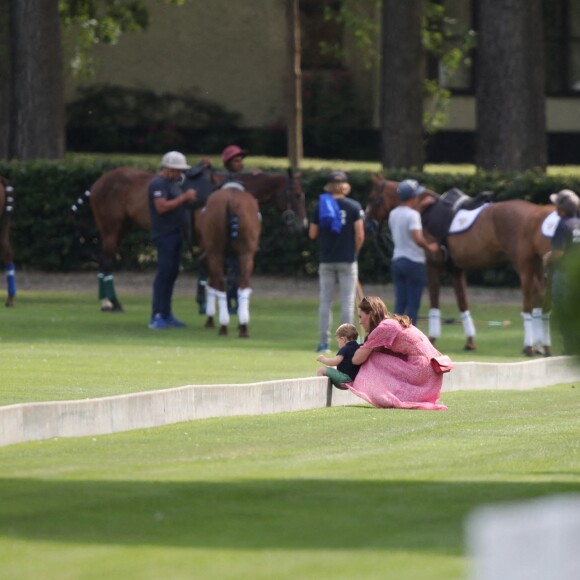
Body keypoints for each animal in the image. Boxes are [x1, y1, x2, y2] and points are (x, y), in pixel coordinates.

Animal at [77, 165, 308, 314]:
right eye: (297, 194)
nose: (302, 225)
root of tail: (97, 183)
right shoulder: (206, 238)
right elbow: (207, 268)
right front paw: (205, 304)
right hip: (111, 227)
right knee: (106, 260)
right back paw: (111, 303)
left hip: (123, 227)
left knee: (105, 260)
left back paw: (106, 302)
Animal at [364, 177, 556, 356]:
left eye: (373, 197)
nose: (367, 223)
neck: (424, 211)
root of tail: (535, 214)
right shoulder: (456, 270)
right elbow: (462, 303)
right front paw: (470, 342)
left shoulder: (432, 267)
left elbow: (435, 301)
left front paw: (431, 339)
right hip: (537, 267)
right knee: (541, 298)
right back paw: (542, 346)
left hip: (524, 267)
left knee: (530, 302)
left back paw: (530, 346)